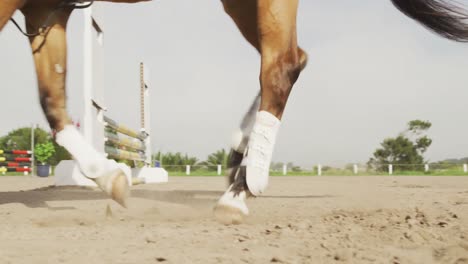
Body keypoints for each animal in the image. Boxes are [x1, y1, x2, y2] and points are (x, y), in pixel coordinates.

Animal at [0, 0, 468, 224]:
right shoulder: (43, 9)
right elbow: (51, 100)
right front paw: (108, 175)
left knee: (280, 65)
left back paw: (242, 187)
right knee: (290, 58)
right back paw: (238, 157)